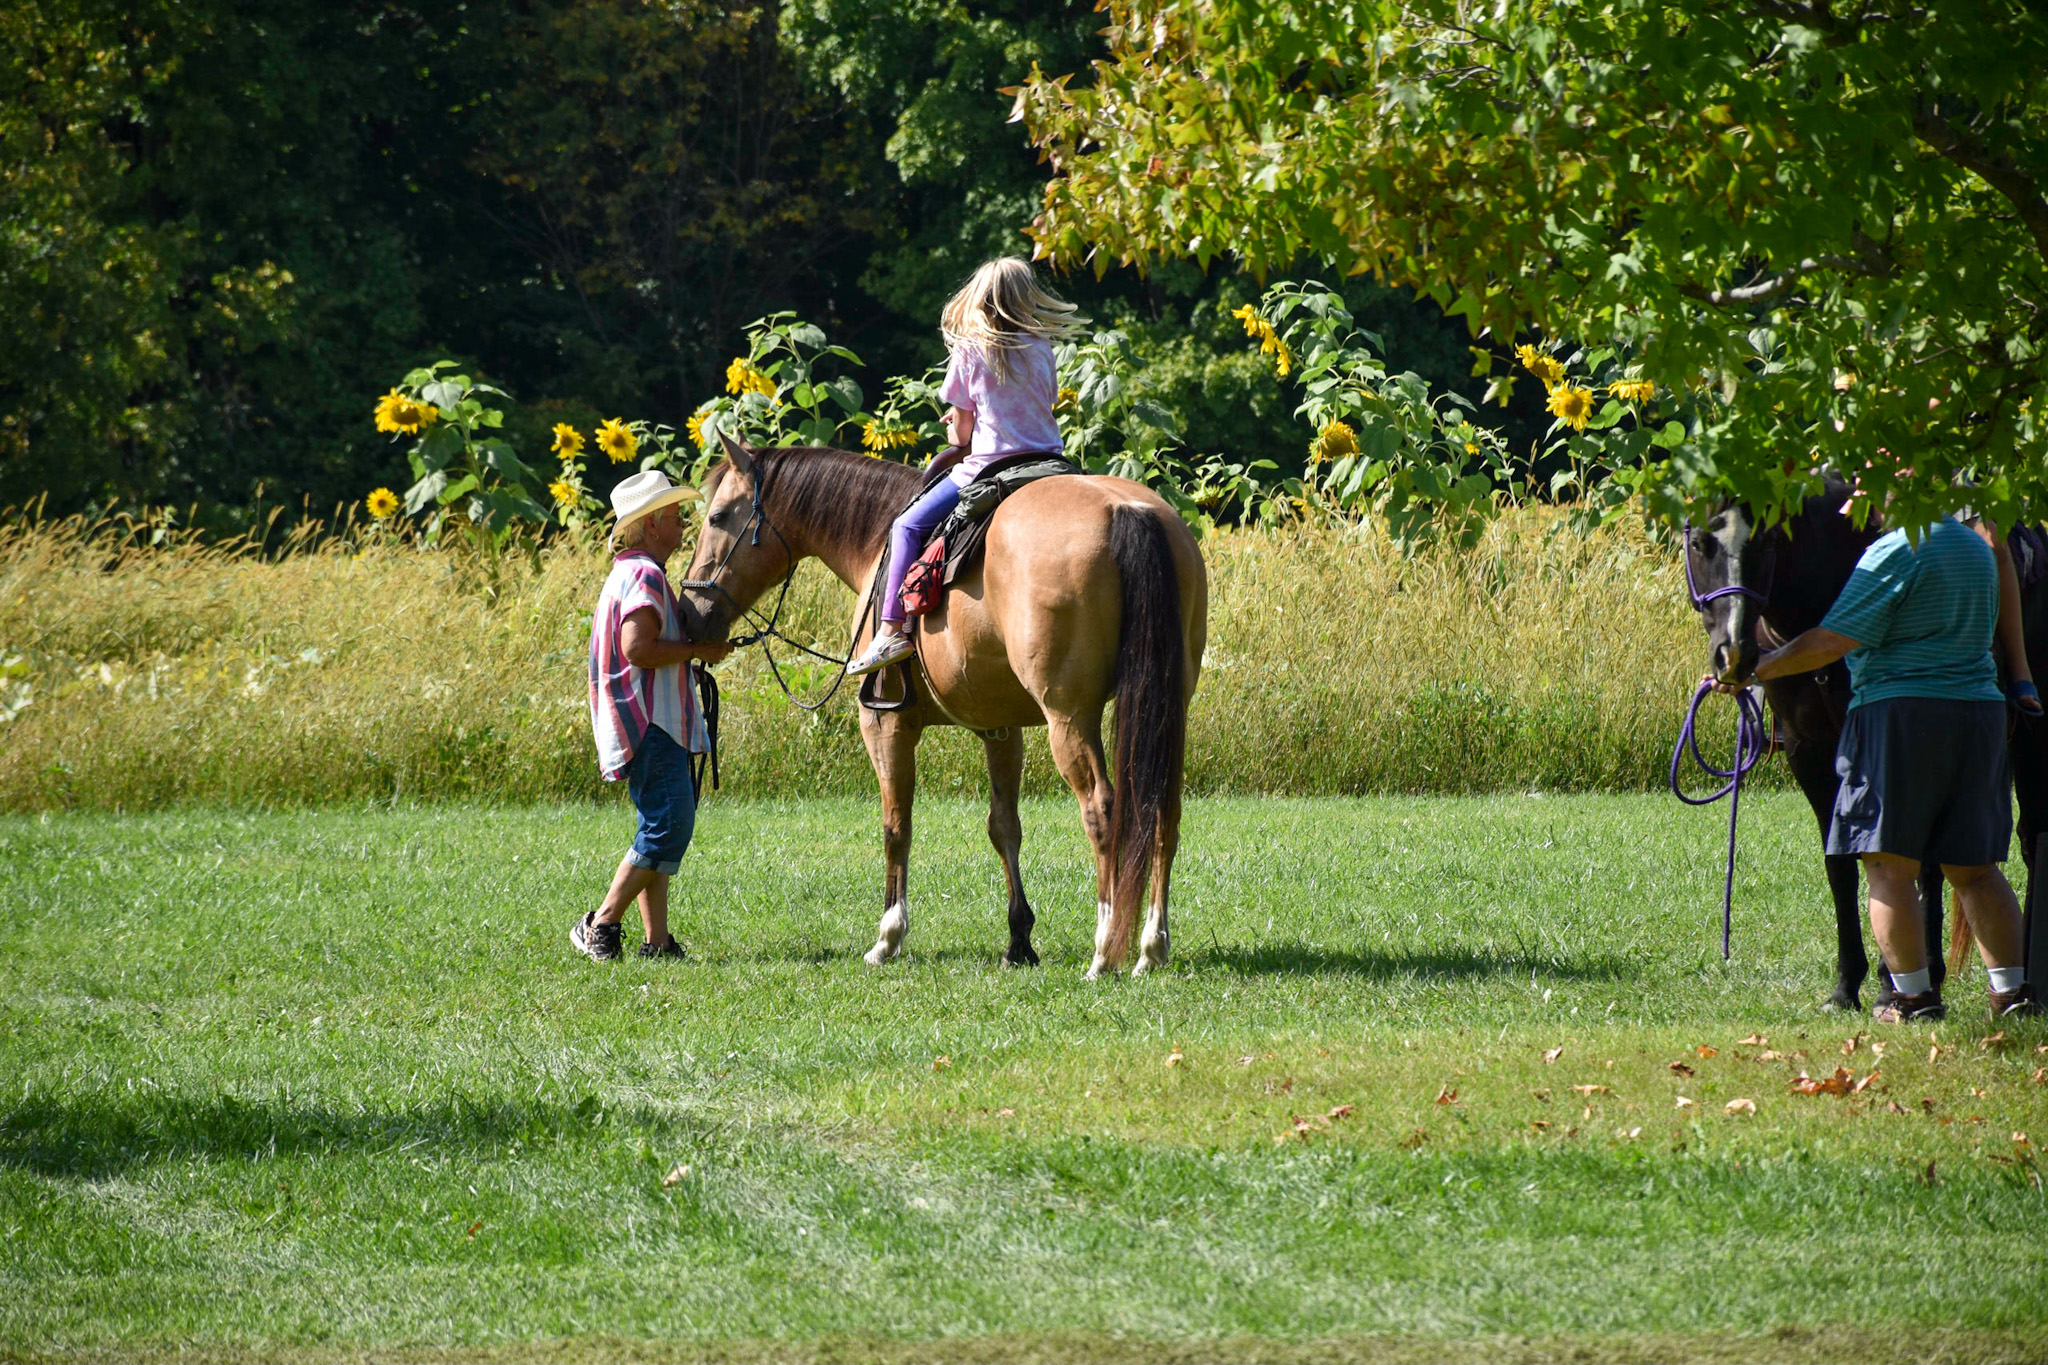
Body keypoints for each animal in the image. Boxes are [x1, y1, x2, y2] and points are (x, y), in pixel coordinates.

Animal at [679, 431, 1204, 978]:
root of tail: (1127, 510)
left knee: (1102, 809)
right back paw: (1151, 944)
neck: (877, 540)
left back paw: (1104, 949)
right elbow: (1004, 826)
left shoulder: (885, 723)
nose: (689, 612)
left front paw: (888, 936)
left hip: (1069, 716)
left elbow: (896, 826)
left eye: (717, 517)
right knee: (1163, 810)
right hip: (1166, 708)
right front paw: (1019, 939)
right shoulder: (1000, 728)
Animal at [1679, 474, 2048, 1010]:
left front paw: (1902, 979)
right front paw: (1847, 984)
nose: (1735, 655)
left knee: (2029, 841)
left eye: (1766, 542)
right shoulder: (1810, 752)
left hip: (2032, 742)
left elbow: (1914, 863)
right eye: (1700, 543)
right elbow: (1841, 865)